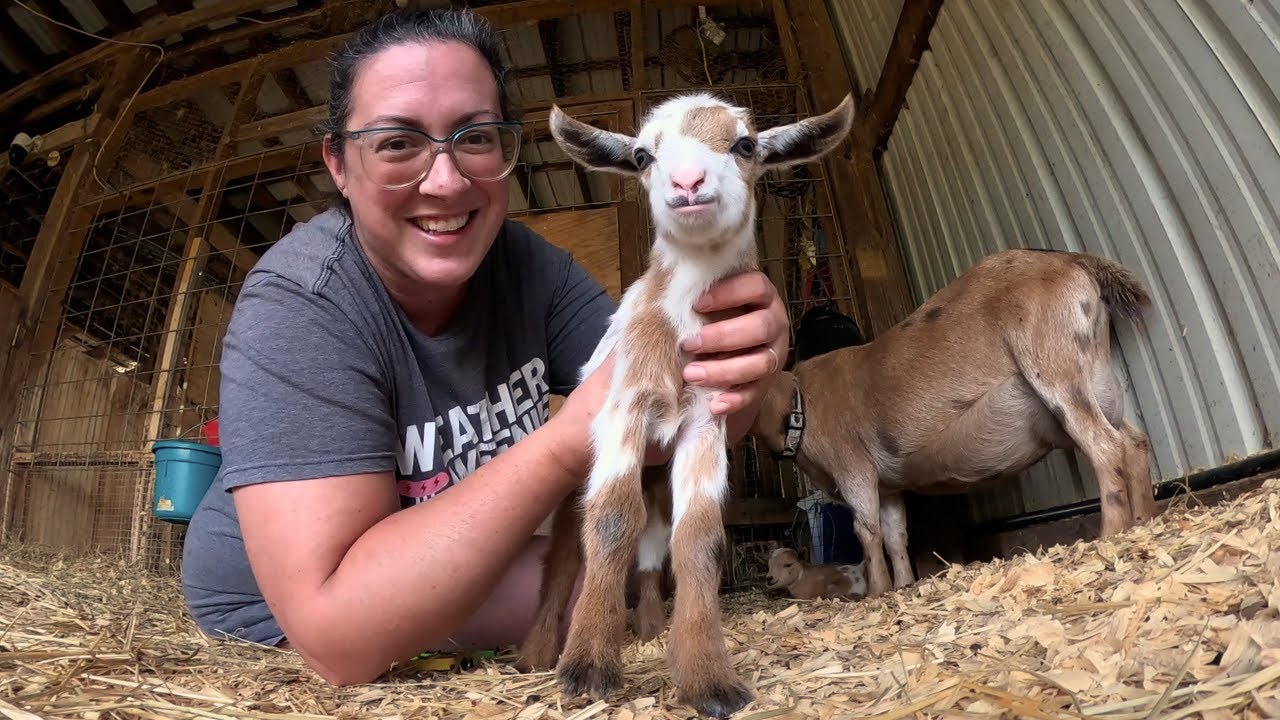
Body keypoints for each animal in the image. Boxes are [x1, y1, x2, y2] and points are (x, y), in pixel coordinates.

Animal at [515, 91, 855, 718]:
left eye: (745, 144)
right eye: (642, 155)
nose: (688, 181)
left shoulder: (705, 422)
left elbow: (698, 538)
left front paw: (707, 678)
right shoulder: (625, 404)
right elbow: (610, 520)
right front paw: (587, 667)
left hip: (658, 481)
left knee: (651, 550)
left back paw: (649, 627)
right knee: (566, 555)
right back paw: (539, 652)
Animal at [750, 248, 1161, 597]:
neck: (800, 404)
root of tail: (1072, 260)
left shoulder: (853, 466)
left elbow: (867, 531)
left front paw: (877, 591)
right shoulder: (888, 484)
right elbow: (895, 534)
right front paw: (903, 585)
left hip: (1054, 363)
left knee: (1105, 446)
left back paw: (1109, 533)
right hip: (1097, 376)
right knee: (1135, 442)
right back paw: (1143, 521)